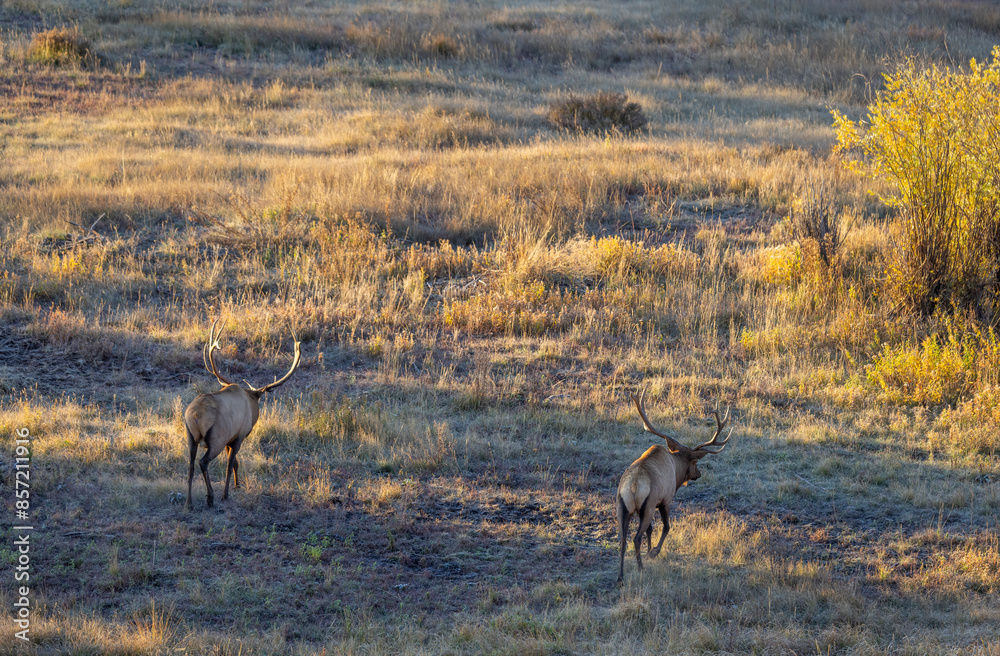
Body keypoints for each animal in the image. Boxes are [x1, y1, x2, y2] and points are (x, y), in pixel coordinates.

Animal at [184, 319, 301, 510]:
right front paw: (227, 494)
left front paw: (238, 485)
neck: (250, 400)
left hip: (190, 437)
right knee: (203, 462)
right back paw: (211, 497)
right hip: (216, 438)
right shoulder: (238, 436)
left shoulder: (230, 440)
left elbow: (236, 464)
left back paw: (189, 502)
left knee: (191, 466)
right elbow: (231, 464)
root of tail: (195, 415)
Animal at [616, 390, 732, 583]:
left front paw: (650, 551)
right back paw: (641, 568)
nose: (699, 473)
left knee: (623, 539)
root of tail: (632, 487)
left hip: (622, 507)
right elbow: (666, 527)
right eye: (695, 462)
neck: (676, 468)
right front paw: (654, 552)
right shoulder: (665, 500)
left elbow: (651, 530)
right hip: (647, 506)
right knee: (636, 538)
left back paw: (620, 576)